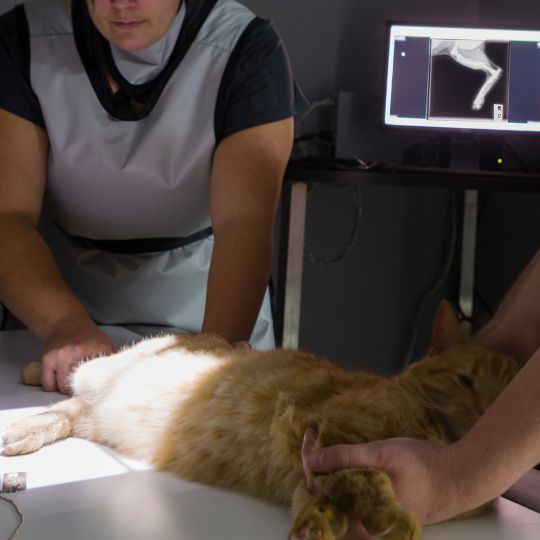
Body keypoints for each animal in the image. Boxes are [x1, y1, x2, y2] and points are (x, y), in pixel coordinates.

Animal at [2, 304, 520, 540]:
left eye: (504, 394)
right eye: (465, 381)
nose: (485, 412)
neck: (437, 432)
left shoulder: (309, 470)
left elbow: (323, 502)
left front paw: (312, 531)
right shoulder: (324, 434)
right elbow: (366, 478)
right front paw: (395, 521)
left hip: (95, 414)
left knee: (71, 411)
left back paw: (23, 430)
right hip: (104, 369)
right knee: (74, 375)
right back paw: (25, 395)